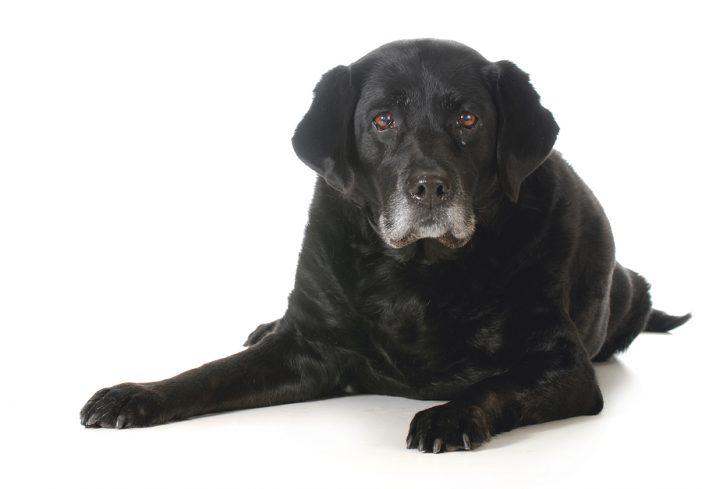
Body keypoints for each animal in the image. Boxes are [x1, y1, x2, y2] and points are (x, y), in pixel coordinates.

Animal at [80, 40, 692, 452]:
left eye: (468, 118)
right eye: (382, 119)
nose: (430, 188)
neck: (415, 272)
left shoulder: (562, 366)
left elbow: (499, 386)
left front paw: (449, 415)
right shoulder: (305, 348)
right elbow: (210, 374)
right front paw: (137, 393)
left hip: (631, 294)